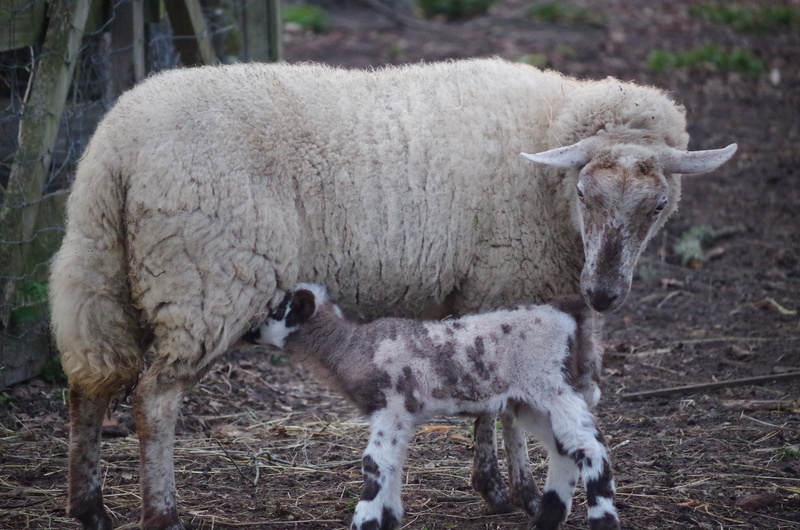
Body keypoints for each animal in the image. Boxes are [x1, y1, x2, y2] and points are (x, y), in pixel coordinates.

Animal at [247, 283, 615, 530]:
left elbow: (374, 464)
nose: (248, 331)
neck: (351, 347)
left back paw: (602, 518)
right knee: (564, 449)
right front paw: (389, 517)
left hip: (550, 385)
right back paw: (546, 518)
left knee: (591, 445)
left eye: (276, 310)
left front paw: (365, 521)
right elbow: (393, 463)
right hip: (528, 401)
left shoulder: (392, 406)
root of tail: (564, 312)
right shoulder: (400, 416)